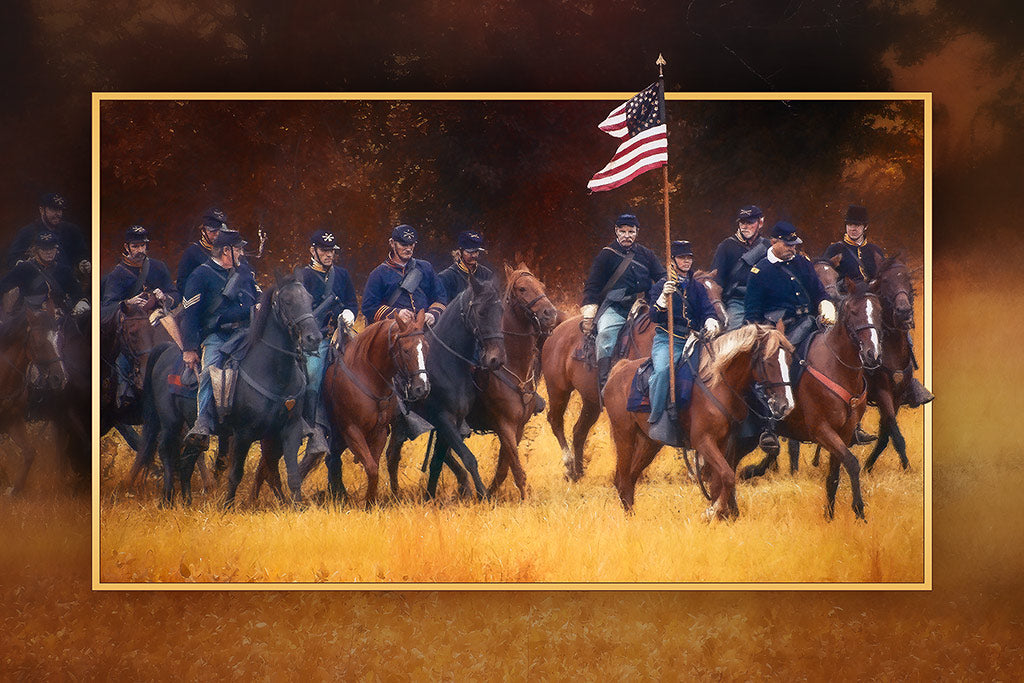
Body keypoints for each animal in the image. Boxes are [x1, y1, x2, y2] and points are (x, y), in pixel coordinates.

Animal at [382, 276, 505, 501]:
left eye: (501, 311)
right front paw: (483, 495)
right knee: (391, 455)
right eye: (481, 312)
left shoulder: (453, 422)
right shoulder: (443, 419)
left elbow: (438, 461)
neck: (447, 363)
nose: (496, 359)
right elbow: (467, 457)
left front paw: (430, 496)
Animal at [602, 325, 794, 518]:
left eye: (789, 360)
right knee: (623, 480)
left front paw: (718, 513)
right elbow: (727, 476)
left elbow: (719, 481)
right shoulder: (703, 441)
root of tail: (619, 369)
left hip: (649, 442)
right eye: (768, 361)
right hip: (624, 435)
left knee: (630, 477)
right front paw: (712, 511)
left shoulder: (723, 442)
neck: (718, 384)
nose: (786, 405)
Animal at [733, 280, 884, 520]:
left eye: (879, 311)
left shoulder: (844, 432)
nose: (873, 355)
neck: (837, 367)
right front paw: (859, 511)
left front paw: (829, 516)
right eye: (853, 311)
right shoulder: (822, 430)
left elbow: (834, 475)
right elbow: (852, 463)